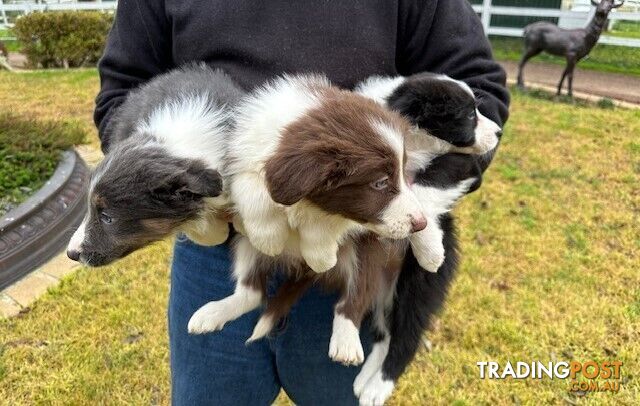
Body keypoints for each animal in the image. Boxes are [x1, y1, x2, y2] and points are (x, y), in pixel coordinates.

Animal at [186, 74, 424, 366]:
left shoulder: (347, 220)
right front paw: (270, 239)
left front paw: (320, 254)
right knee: (251, 293)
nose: (421, 223)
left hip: (369, 253)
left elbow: (325, 222)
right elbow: (253, 190)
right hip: (244, 246)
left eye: (403, 172)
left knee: (354, 299)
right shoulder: (238, 161)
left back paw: (345, 343)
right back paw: (211, 314)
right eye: (380, 183)